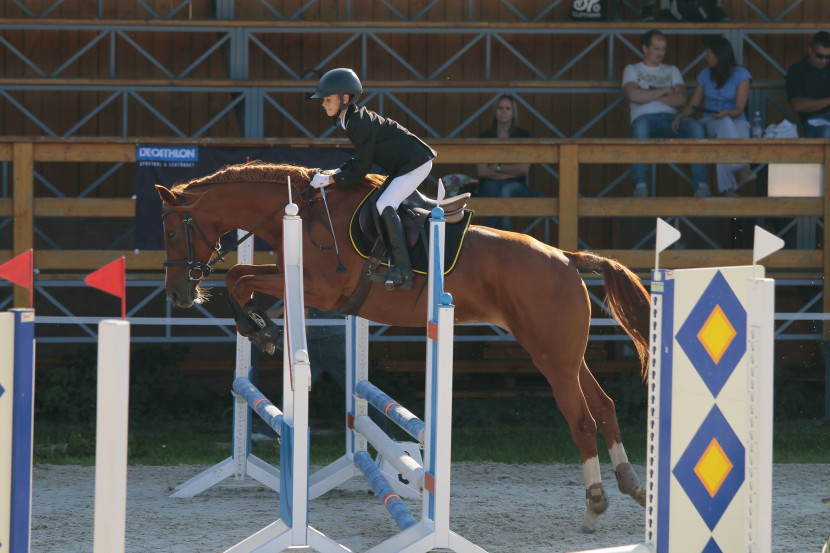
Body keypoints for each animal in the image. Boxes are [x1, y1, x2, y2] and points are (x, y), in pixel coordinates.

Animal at [154, 162, 648, 532]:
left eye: (173, 233)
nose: (178, 295)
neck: (301, 214)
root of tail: (567, 257)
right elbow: (240, 277)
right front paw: (261, 327)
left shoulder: (321, 290)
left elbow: (239, 280)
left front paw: (262, 330)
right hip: (566, 355)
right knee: (605, 407)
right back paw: (633, 487)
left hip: (552, 358)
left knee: (582, 421)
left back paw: (595, 505)